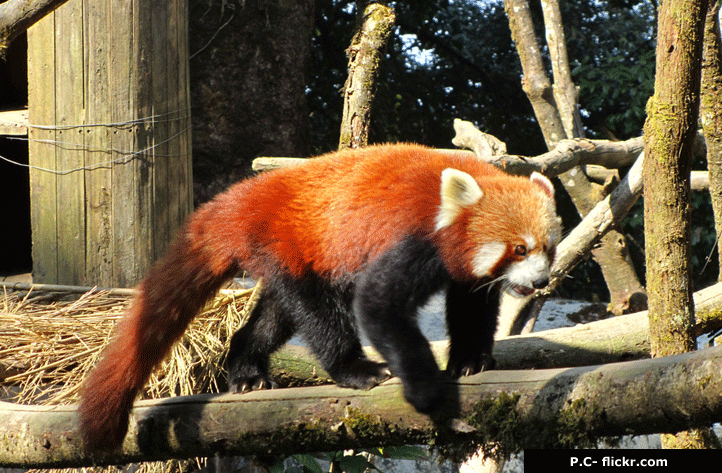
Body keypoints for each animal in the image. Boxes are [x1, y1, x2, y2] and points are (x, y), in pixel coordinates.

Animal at [79, 143, 564, 450]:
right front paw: (425, 389)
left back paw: (246, 368)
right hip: (293, 246)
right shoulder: (411, 236)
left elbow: (471, 306)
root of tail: (243, 198)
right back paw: (354, 368)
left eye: (547, 247)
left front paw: (470, 360)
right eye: (519, 249)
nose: (541, 281)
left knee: (274, 317)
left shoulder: (463, 269)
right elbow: (378, 304)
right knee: (319, 313)